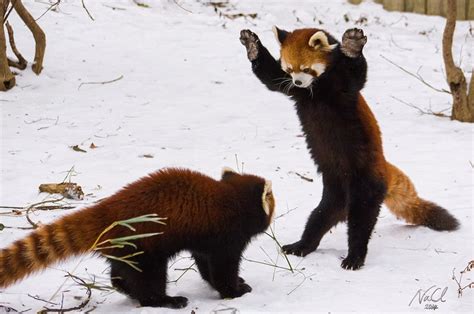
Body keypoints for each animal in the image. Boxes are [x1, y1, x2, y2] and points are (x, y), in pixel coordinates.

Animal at [0, 168, 276, 308]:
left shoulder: (204, 239)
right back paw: (165, 300)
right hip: (145, 245)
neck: (228, 198)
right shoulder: (225, 236)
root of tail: (108, 210)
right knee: (149, 279)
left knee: (122, 271)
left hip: (126, 247)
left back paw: (125, 288)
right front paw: (236, 290)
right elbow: (221, 270)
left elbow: (206, 266)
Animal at [241, 27, 460, 270]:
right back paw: (302, 245)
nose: (297, 82)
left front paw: (353, 46)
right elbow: (271, 78)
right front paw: (252, 46)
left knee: (360, 222)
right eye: (289, 69)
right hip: (334, 194)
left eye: (306, 69)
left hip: (366, 184)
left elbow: (358, 72)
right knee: (318, 218)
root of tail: (384, 167)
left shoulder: (345, 86)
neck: (316, 89)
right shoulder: (293, 90)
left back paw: (354, 257)